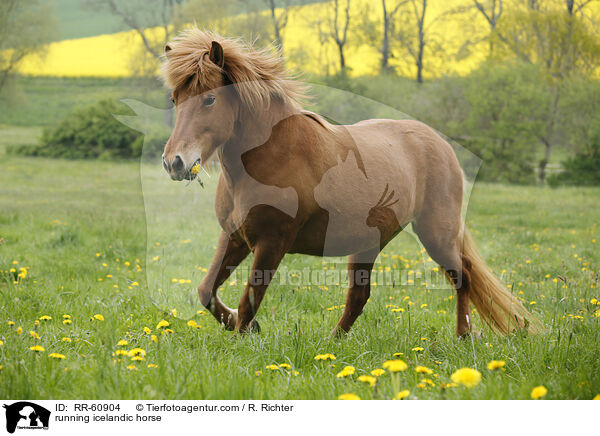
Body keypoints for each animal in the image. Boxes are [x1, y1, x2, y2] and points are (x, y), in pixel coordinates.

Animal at [161, 28, 544, 338]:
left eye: (210, 99)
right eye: (175, 99)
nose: (174, 163)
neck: (270, 155)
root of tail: (439, 143)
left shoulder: (272, 242)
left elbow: (249, 300)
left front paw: (244, 337)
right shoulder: (235, 236)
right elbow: (207, 291)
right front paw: (244, 327)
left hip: (436, 233)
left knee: (462, 276)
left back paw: (463, 336)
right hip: (368, 243)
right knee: (360, 296)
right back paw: (333, 343)